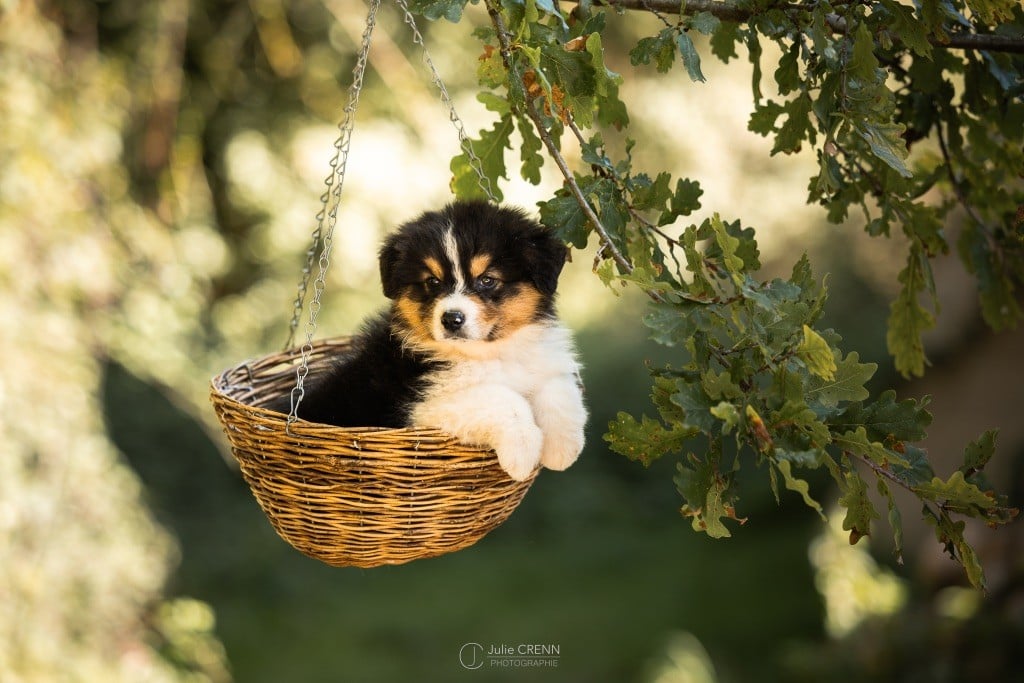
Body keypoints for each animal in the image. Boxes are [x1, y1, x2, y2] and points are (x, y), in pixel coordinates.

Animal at [276, 201, 589, 481]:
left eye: (487, 280)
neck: (488, 352)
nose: (452, 319)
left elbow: (560, 391)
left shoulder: (541, 362)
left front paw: (563, 450)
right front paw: (523, 452)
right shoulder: (423, 403)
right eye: (433, 282)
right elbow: (502, 398)